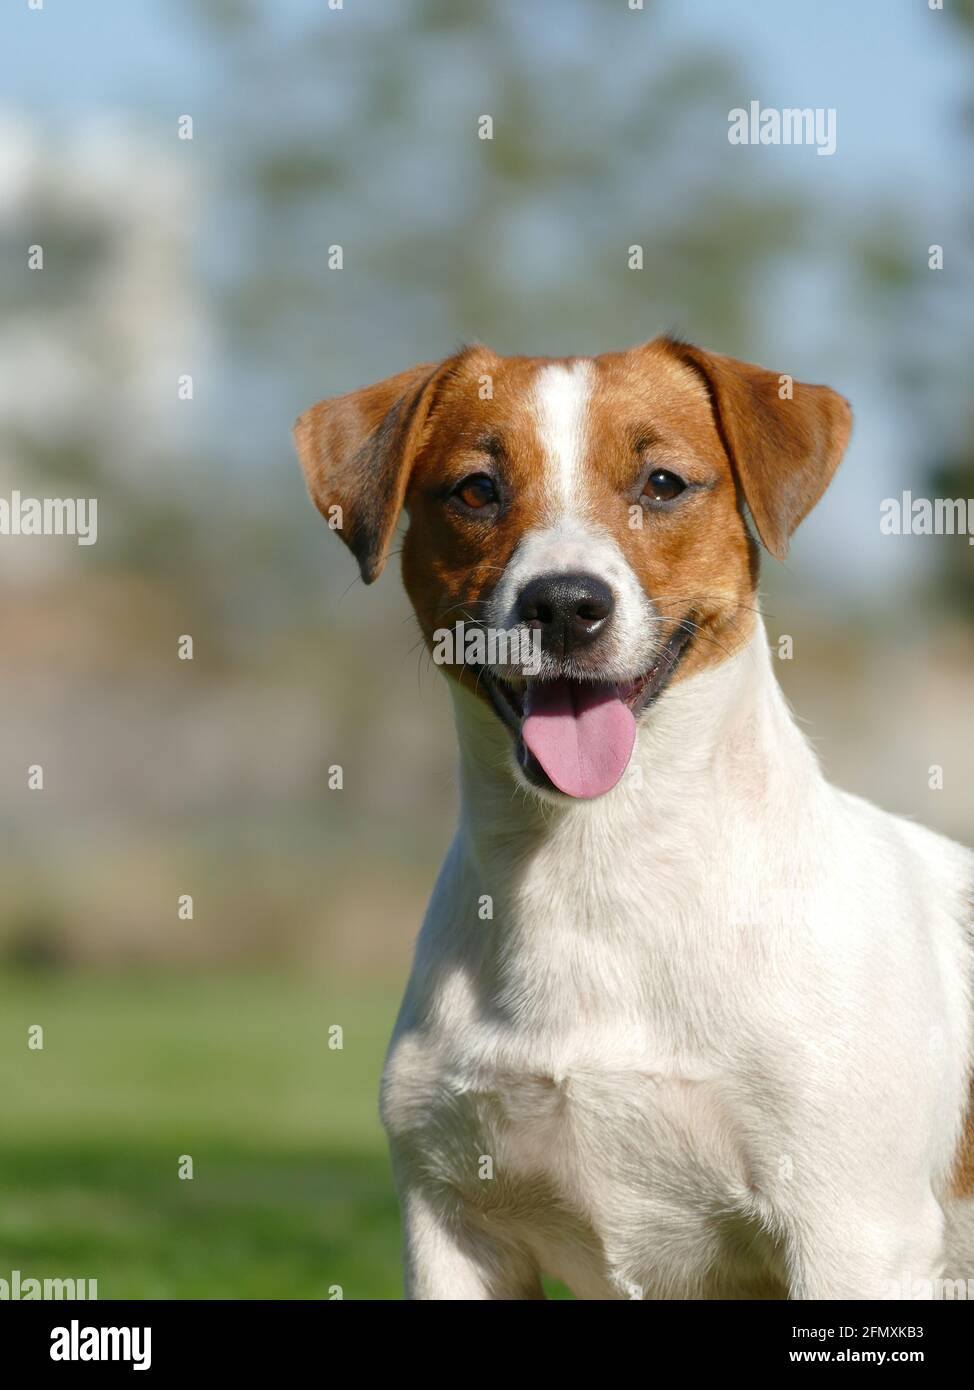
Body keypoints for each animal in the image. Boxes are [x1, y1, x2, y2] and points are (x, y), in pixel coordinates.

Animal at [294, 341, 972, 1295]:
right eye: (476, 489)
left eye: (662, 482)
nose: (564, 604)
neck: (597, 869)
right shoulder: (451, 1227)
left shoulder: (854, 1233)